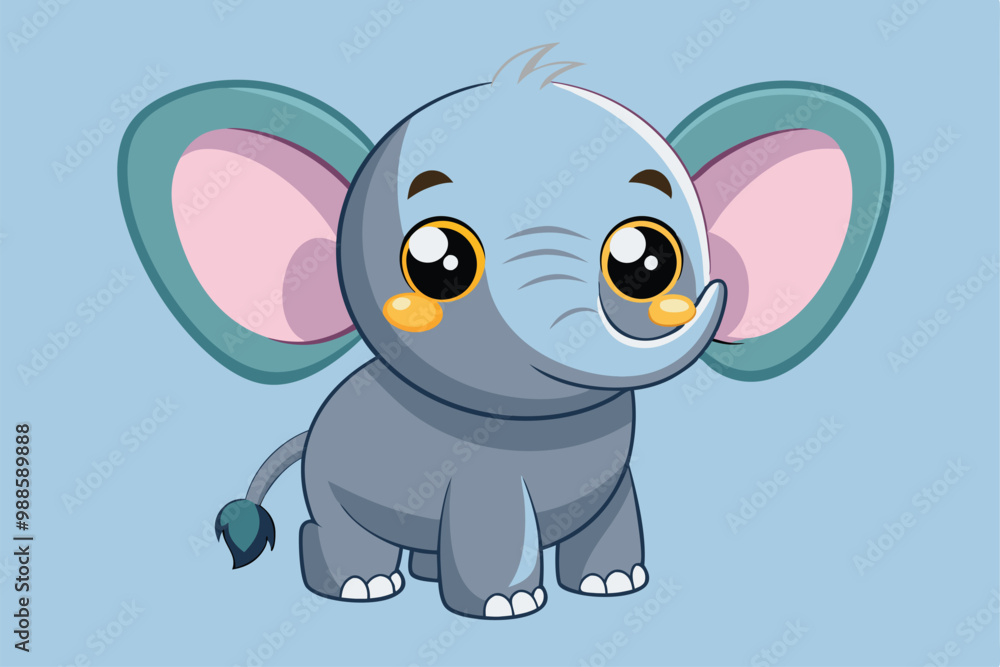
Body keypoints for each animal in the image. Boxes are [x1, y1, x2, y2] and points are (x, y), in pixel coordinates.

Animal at [118, 44, 892, 619]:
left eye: (647, 259)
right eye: (439, 263)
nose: (713, 293)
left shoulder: (618, 473)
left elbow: (619, 512)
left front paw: (614, 584)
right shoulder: (478, 473)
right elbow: (493, 521)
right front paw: (506, 605)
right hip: (330, 486)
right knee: (334, 531)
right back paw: (363, 587)